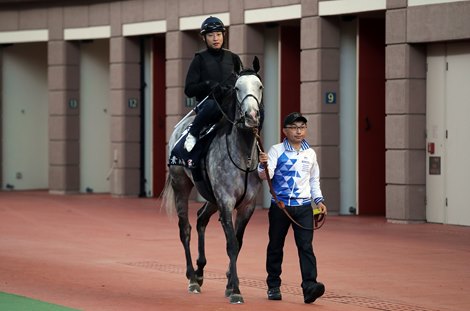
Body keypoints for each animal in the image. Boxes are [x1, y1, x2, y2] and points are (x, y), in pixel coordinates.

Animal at [162, 58, 264, 304]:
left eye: (260, 86)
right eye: (237, 88)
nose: (251, 116)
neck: (243, 156)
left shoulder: (247, 205)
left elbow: (238, 242)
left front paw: (229, 283)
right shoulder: (226, 201)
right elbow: (232, 244)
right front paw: (235, 290)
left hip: (211, 197)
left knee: (200, 219)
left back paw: (199, 272)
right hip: (181, 185)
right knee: (185, 228)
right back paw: (191, 277)